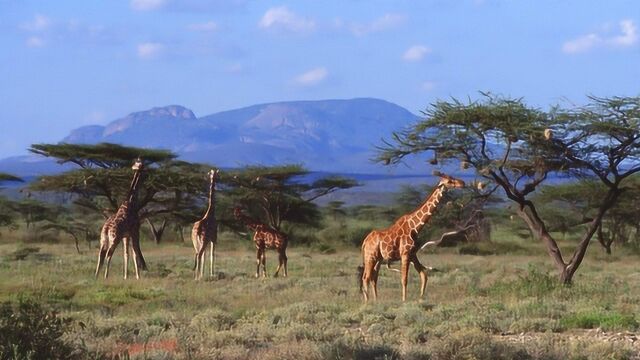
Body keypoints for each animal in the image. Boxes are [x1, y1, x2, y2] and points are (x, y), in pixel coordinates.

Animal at [358, 172, 462, 300]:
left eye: (452, 177)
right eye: (449, 181)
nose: (462, 183)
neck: (415, 227)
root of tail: (365, 241)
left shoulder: (413, 254)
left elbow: (424, 275)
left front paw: (421, 298)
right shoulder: (405, 254)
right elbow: (404, 279)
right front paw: (404, 300)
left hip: (378, 258)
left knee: (374, 277)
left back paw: (376, 300)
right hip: (370, 256)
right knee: (366, 277)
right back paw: (367, 302)